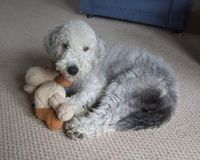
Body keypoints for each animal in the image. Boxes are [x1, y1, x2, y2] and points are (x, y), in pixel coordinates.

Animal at [43, 19, 178, 139]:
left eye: (86, 48)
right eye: (65, 45)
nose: (72, 69)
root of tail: (171, 94)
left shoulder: (96, 85)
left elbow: (81, 96)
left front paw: (67, 104)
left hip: (124, 84)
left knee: (105, 115)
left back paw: (79, 128)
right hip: (131, 101)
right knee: (113, 120)